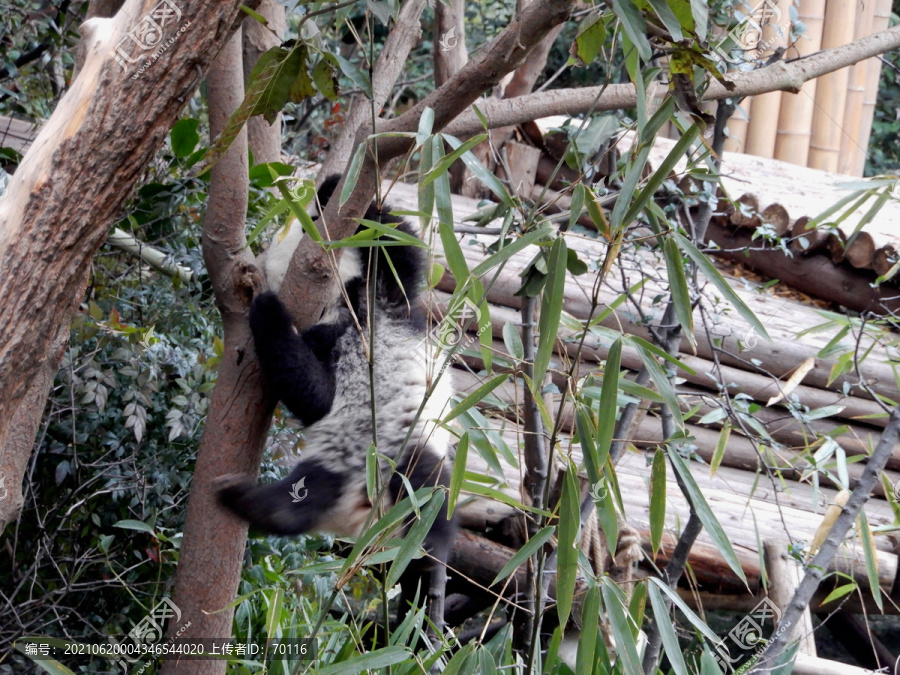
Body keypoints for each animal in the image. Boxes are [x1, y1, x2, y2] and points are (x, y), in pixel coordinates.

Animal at [218, 176, 458, 628]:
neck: (343, 308)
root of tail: (363, 510)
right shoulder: (328, 340)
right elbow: (310, 389)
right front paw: (266, 305)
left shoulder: (383, 304)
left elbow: (398, 249)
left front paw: (341, 191)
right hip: (337, 466)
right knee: (303, 500)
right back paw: (247, 501)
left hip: (409, 459)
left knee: (429, 518)